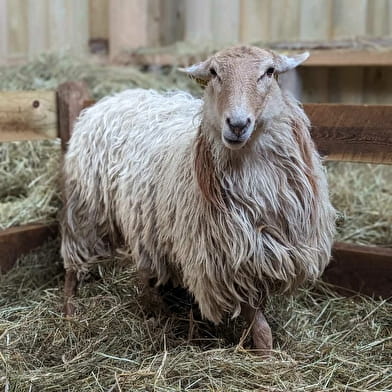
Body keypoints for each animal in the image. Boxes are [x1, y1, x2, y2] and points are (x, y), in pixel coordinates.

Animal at [62, 45, 336, 352]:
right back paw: (70, 312)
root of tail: (109, 99)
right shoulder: (231, 261)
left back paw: (154, 307)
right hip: (86, 205)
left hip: (142, 221)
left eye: (269, 72)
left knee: (143, 266)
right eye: (214, 73)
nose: (237, 124)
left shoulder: (265, 254)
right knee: (73, 262)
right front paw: (265, 353)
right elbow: (256, 317)